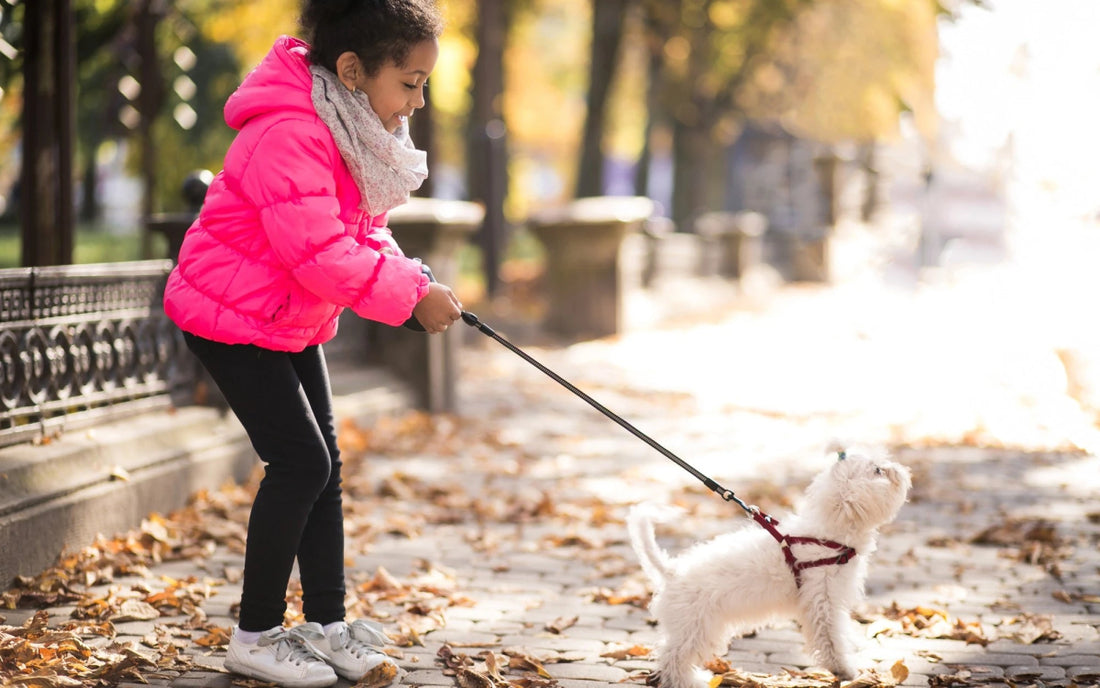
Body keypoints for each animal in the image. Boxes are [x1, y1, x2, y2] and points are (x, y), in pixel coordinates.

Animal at [629, 453, 910, 682]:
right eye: (877, 470)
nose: (900, 469)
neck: (828, 535)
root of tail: (672, 571)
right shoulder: (824, 602)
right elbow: (832, 639)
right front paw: (845, 670)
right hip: (695, 626)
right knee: (673, 659)